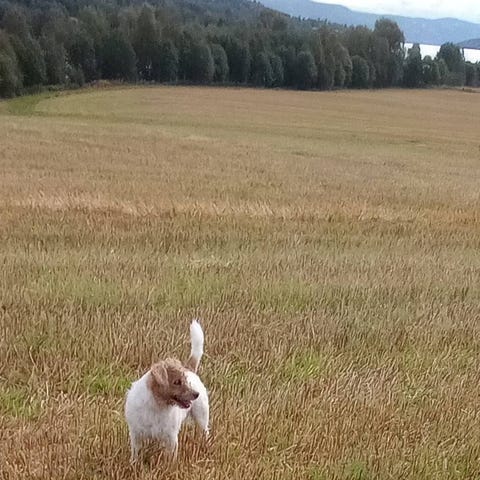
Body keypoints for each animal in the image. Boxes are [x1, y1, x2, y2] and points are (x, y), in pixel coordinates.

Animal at [125, 320, 209, 462]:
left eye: (185, 380)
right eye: (177, 382)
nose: (196, 394)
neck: (157, 404)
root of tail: (190, 369)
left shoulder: (171, 438)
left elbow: (170, 457)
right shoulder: (136, 434)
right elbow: (135, 453)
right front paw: (134, 463)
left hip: (202, 417)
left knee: (206, 432)